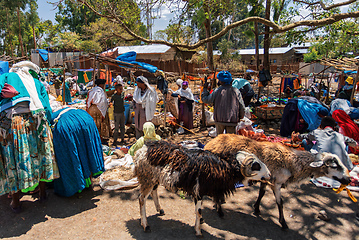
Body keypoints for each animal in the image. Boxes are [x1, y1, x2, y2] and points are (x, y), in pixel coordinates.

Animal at [134, 140, 272, 237]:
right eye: (256, 166)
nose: (269, 174)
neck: (222, 168)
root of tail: (142, 149)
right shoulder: (199, 191)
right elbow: (199, 211)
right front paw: (198, 231)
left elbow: (199, 211)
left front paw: (200, 223)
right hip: (147, 178)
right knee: (141, 199)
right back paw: (145, 225)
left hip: (153, 178)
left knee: (154, 191)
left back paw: (160, 210)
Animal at [204, 134, 352, 230]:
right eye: (334, 166)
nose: (349, 179)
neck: (292, 162)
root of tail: (210, 143)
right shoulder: (277, 183)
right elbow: (280, 203)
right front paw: (283, 223)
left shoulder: (267, 178)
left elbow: (262, 194)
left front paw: (256, 208)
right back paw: (219, 209)